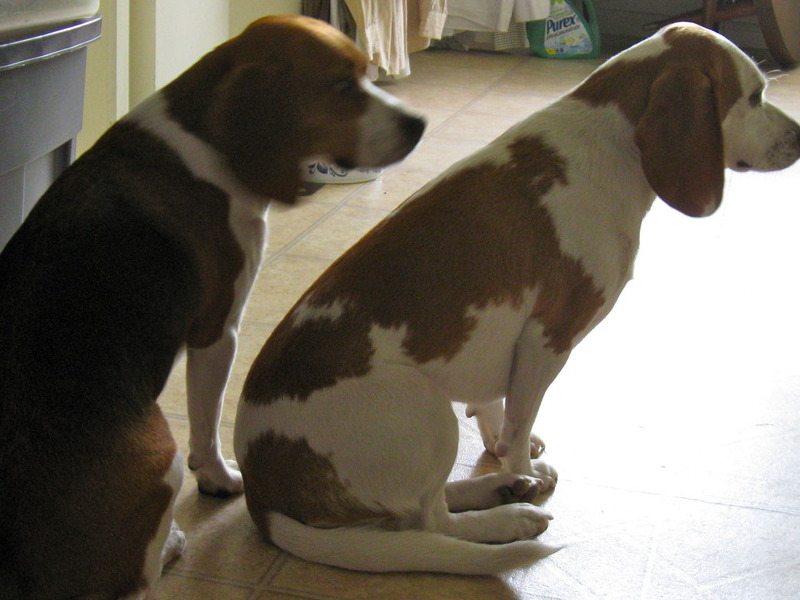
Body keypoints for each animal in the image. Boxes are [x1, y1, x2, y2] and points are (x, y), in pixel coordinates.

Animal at [0, 15, 424, 600]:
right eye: (342, 85)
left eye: (365, 73)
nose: (419, 124)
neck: (205, 138)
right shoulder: (219, 331)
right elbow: (207, 418)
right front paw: (219, 478)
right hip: (160, 456)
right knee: (132, 582)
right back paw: (173, 545)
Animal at [233, 23, 800, 576]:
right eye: (754, 95)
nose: (799, 136)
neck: (612, 143)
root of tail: (261, 498)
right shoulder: (547, 339)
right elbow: (521, 414)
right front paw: (520, 465)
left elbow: (497, 414)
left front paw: (506, 452)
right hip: (426, 408)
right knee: (432, 524)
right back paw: (508, 516)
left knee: (434, 507)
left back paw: (498, 489)